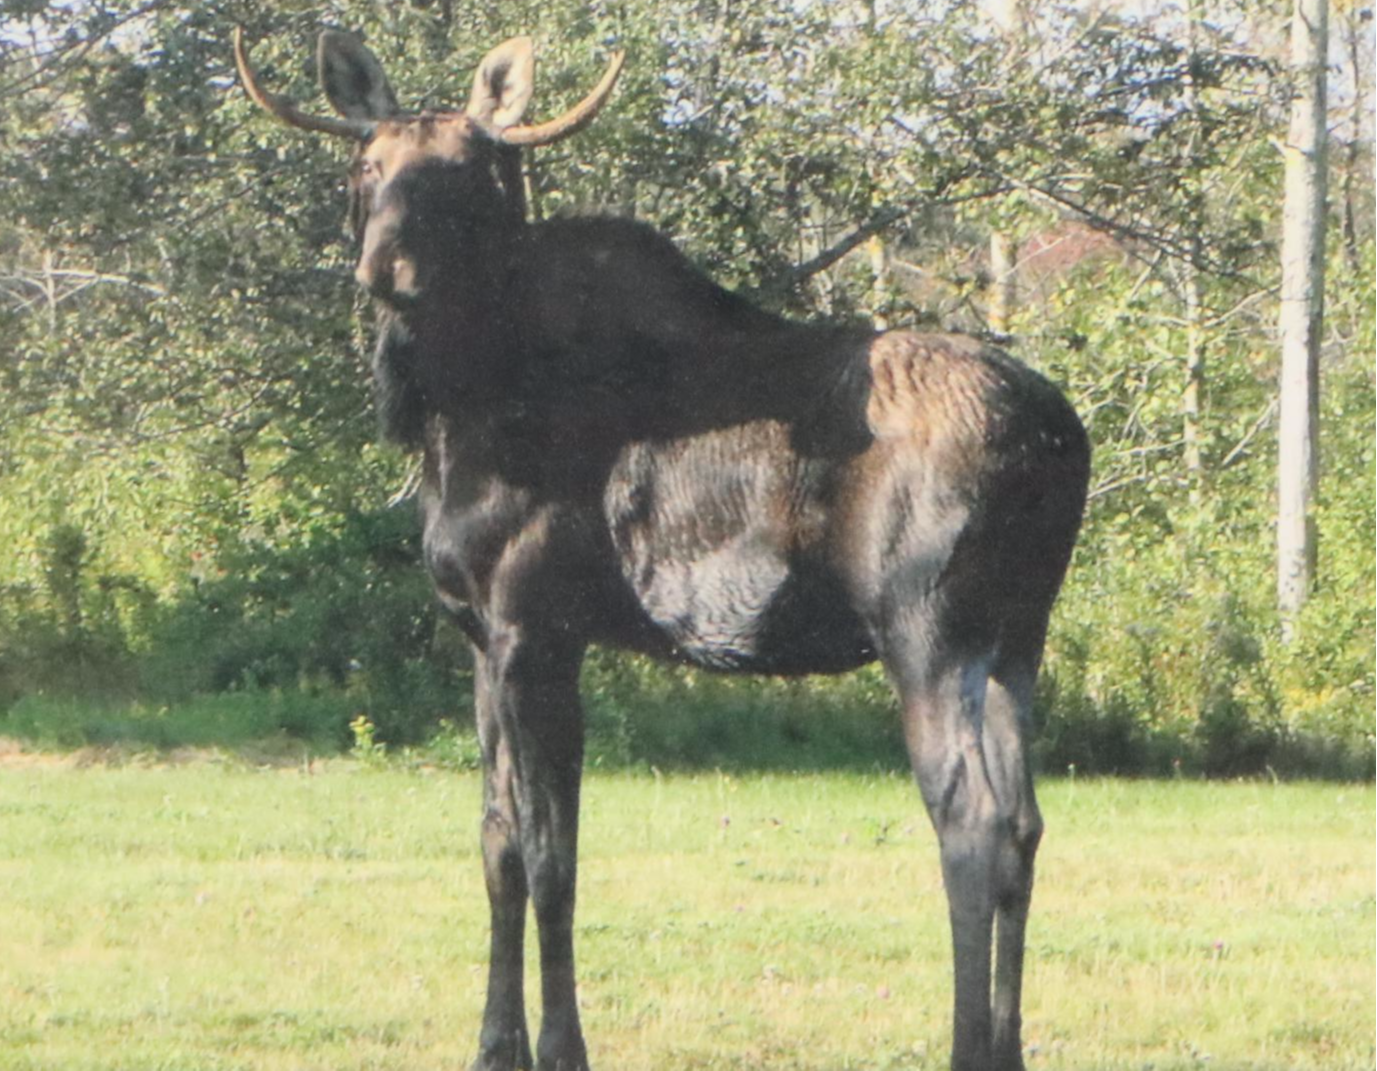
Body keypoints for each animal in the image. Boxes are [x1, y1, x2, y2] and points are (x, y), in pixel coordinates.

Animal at [234, 27, 1090, 1071]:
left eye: (467, 173)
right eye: (370, 164)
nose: (386, 266)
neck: (458, 412)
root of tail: (1062, 439)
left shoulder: (537, 629)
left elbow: (552, 854)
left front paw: (560, 1047)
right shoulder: (479, 636)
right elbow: (497, 843)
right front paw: (493, 1045)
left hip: (928, 632)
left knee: (971, 820)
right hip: (1018, 637)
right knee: (1025, 823)